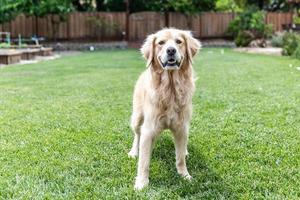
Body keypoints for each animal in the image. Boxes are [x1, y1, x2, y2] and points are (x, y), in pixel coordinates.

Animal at [127, 27, 200, 189]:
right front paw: (142, 183)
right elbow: (144, 162)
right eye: (161, 43)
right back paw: (134, 151)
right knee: (137, 135)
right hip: (137, 118)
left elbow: (180, 157)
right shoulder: (149, 129)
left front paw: (184, 175)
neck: (170, 88)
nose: (171, 50)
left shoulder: (181, 127)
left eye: (179, 41)